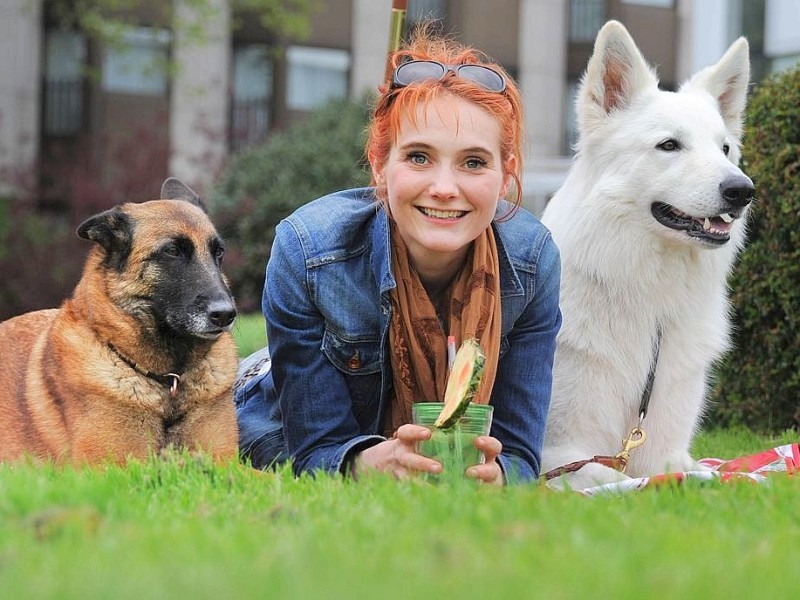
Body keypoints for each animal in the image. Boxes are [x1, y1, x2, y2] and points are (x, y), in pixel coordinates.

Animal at [0, 178, 239, 464]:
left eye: (219, 252)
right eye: (172, 251)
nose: (225, 314)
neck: (169, 382)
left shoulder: (226, 459)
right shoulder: (112, 464)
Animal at [540, 21, 752, 490]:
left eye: (725, 149)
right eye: (669, 146)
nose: (742, 191)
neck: (649, 297)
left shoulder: (667, 452)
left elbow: (704, 473)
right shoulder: (556, 454)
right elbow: (613, 479)